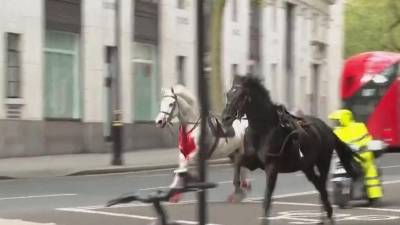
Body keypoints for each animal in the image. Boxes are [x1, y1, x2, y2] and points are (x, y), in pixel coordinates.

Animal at [222, 75, 362, 223]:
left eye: (241, 96)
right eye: (228, 94)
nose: (225, 118)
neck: (264, 129)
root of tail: (328, 129)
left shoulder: (272, 167)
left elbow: (267, 198)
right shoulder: (253, 162)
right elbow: (238, 161)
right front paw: (237, 188)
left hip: (323, 163)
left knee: (323, 189)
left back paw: (328, 216)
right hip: (307, 167)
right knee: (319, 187)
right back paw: (325, 216)